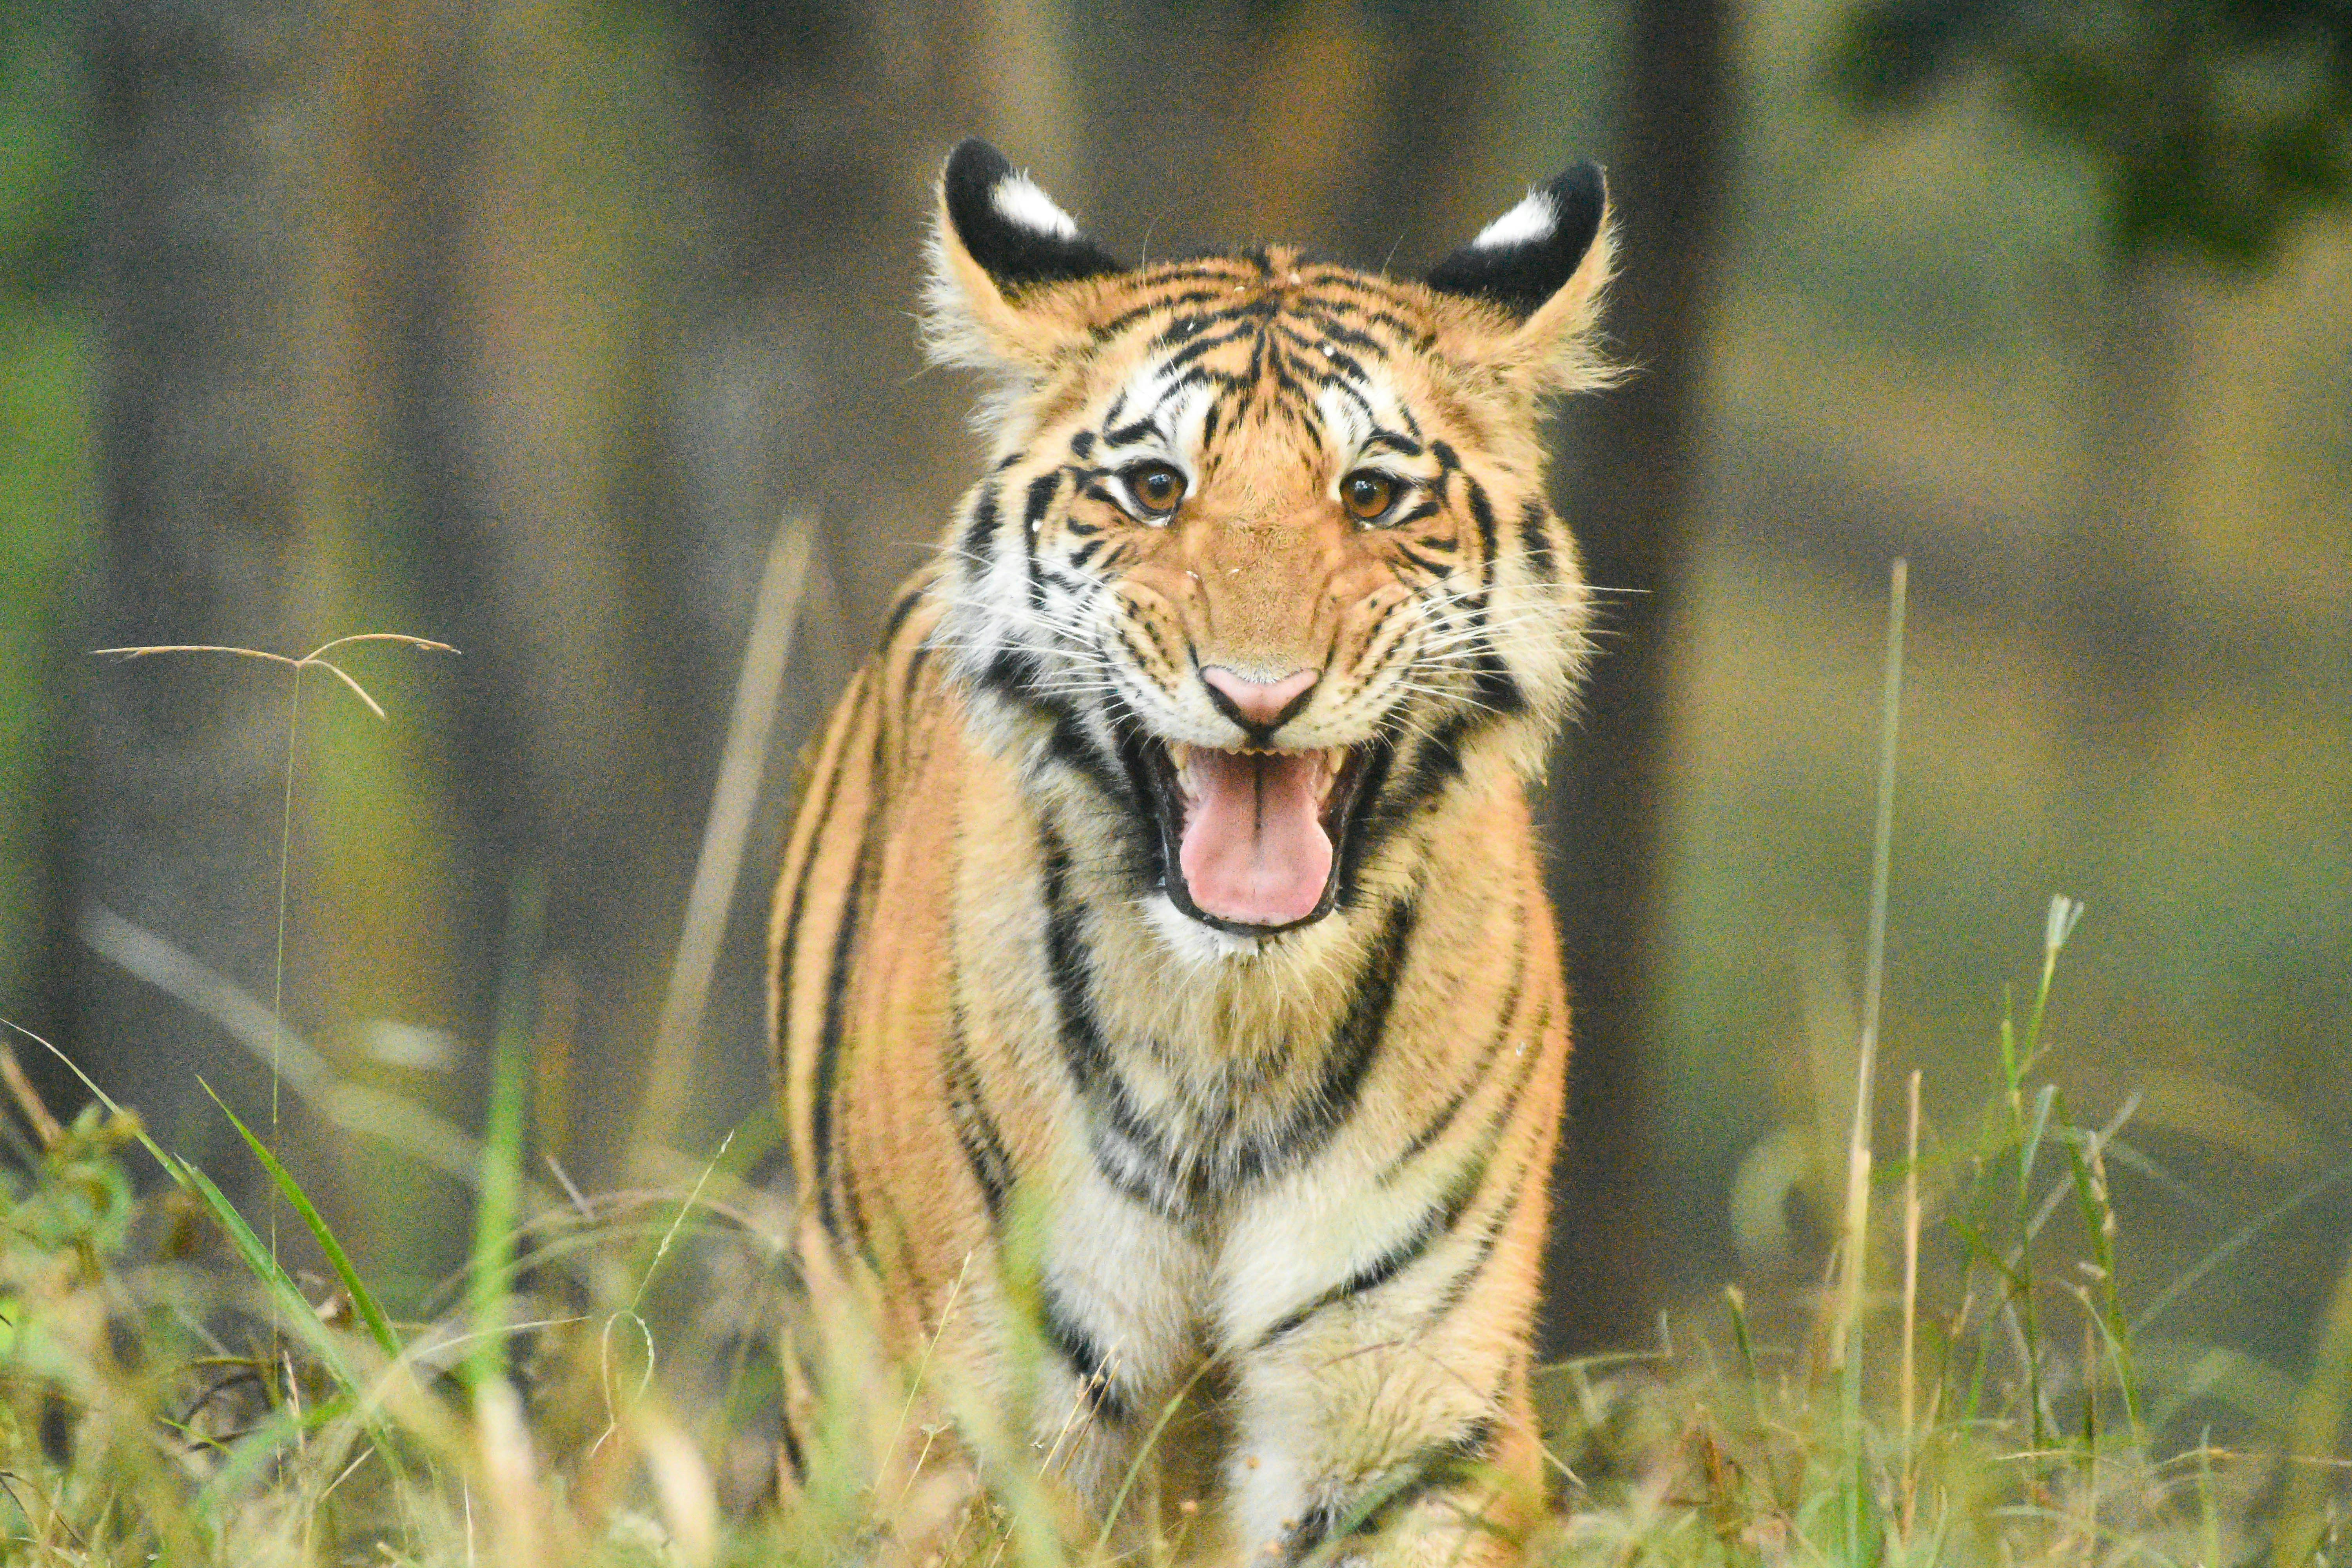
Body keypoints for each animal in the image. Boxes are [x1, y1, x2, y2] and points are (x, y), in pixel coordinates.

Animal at [770, 138, 1617, 1565]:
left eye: (1370, 495)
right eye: (1156, 489)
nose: (1259, 695)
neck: (1232, 1023)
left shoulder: (1404, 1423)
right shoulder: (966, 1435)